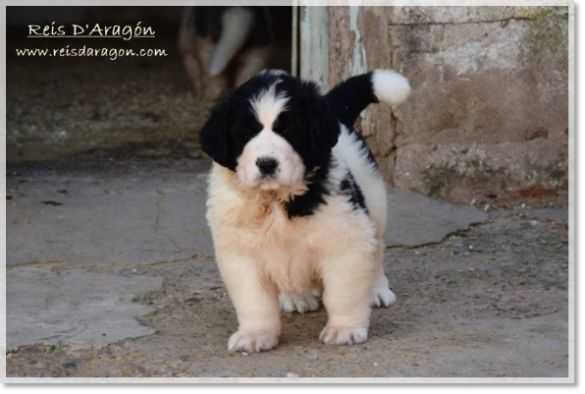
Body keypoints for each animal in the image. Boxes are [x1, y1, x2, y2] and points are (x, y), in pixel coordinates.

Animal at [201, 68, 410, 354]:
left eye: (289, 129)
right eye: (245, 132)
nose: (267, 163)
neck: (275, 200)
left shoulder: (345, 239)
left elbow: (343, 292)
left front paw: (344, 329)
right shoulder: (240, 253)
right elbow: (254, 299)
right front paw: (255, 334)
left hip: (374, 202)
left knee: (376, 249)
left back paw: (376, 289)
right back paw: (297, 296)